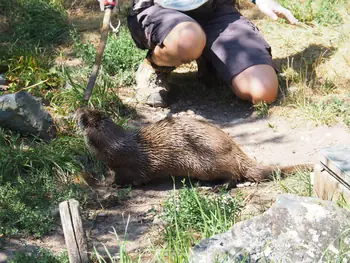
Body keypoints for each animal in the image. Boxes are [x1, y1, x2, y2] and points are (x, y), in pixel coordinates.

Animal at [74, 108, 314, 189]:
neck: (117, 147)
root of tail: (234, 149)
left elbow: (131, 179)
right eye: (88, 109)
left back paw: (219, 187)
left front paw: (113, 185)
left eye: (84, 116)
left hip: (209, 163)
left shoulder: (130, 167)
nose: (78, 109)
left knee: (235, 174)